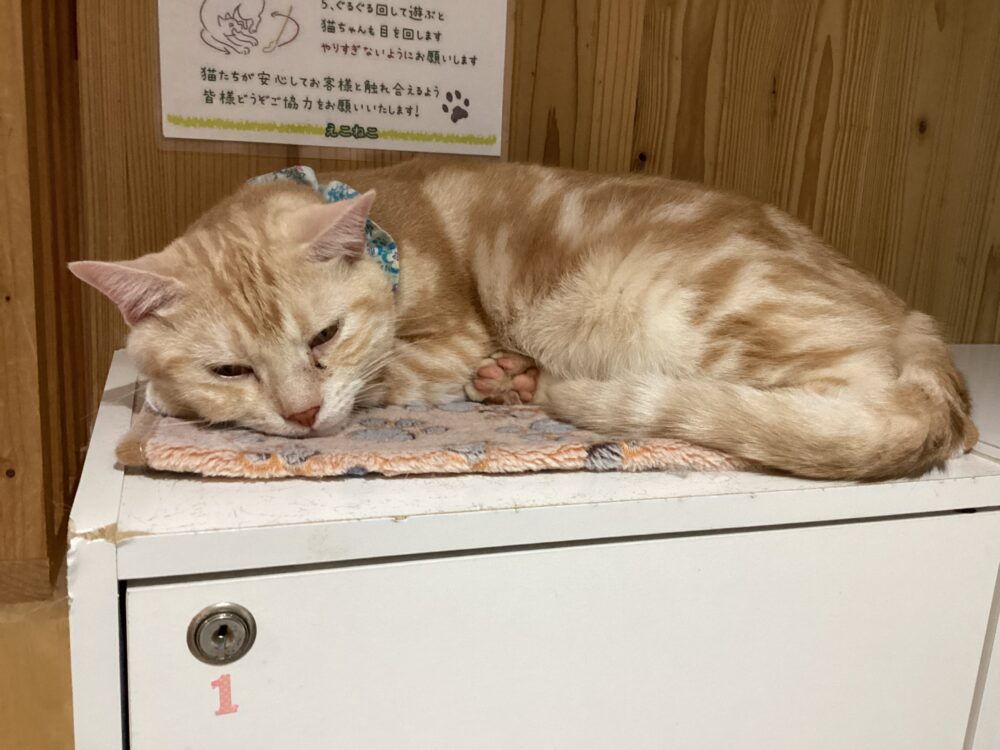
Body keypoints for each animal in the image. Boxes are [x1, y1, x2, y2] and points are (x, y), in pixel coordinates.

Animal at [70, 159, 979, 480]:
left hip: (687, 308)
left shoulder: (450, 339)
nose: (300, 416)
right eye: (231, 367)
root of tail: (917, 318)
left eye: (324, 338)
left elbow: (387, 376)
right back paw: (517, 380)